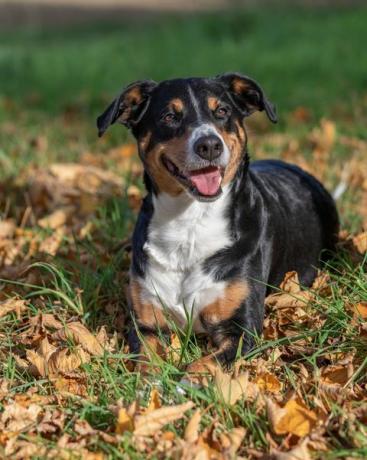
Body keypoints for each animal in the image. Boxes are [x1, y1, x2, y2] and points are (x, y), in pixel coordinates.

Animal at [97, 73, 340, 376]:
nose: (209, 145)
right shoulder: (147, 324)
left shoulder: (241, 329)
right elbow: (147, 364)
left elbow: (202, 366)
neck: (190, 224)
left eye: (222, 111)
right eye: (169, 116)